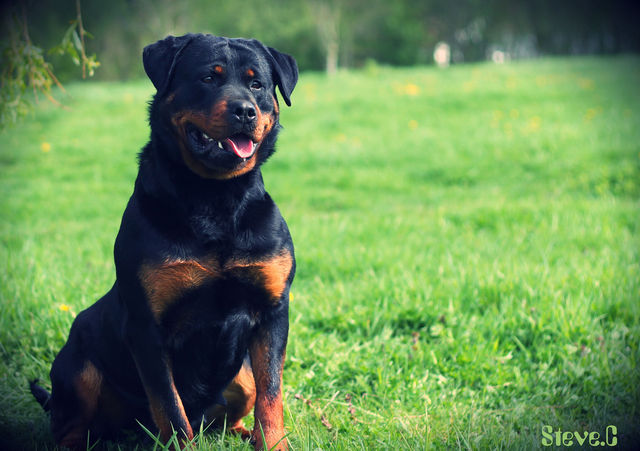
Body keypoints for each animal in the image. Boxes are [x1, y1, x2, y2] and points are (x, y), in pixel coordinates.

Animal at [30, 33, 298, 450]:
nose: (245, 111)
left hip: (241, 378)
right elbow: (170, 409)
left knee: (240, 406)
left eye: (257, 85)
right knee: (69, 423)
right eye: (208, 78)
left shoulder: (272, 311)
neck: (216, 198)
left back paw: (240, 433)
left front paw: (271, 443)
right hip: (78, 365)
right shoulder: (147, 328)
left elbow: (271, 396)